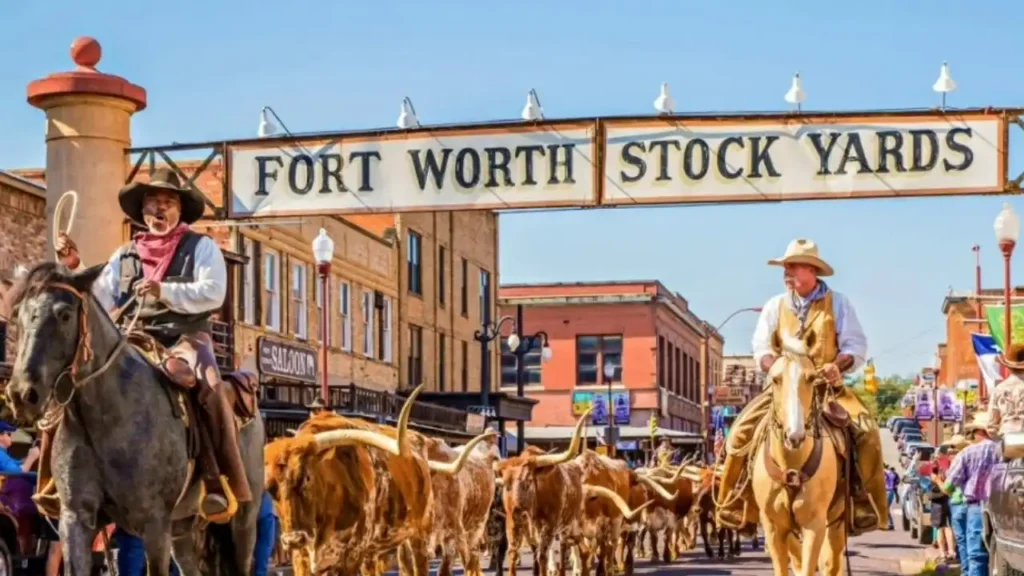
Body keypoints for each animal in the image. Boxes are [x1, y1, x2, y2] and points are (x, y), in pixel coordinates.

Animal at [4, 262, 266, 569]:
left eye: (65, 315)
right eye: (17, 315)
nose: (22, 394)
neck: (104, 420)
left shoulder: (155, 524)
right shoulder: (75, 520)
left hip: (243, 521)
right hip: (183, 529)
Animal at [266, 385, 493, 573]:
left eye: (306, 477)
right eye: (269, 489)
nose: (293, 539)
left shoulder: (352, 552)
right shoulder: (303, 556)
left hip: (422, 534)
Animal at [753, 330, 847, 573]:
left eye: (812, 378)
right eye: (776, 379)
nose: (794, 436)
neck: (791, 466)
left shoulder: (815, 525)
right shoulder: (773, 527)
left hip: (836, 519)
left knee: (831, 563)